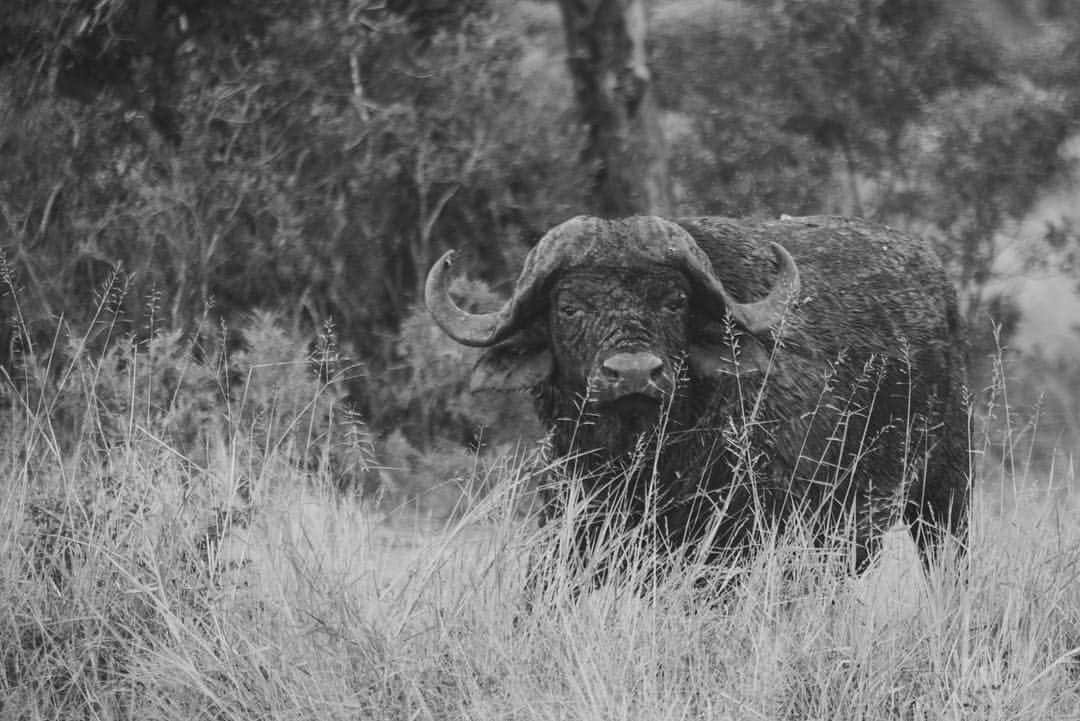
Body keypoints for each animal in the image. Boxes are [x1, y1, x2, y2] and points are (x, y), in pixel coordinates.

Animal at [423, 212, 972, 574]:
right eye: (569, 307)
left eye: (675, 301)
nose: (634, 374)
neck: (642, 462)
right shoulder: (571, 528)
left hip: (944, 495)